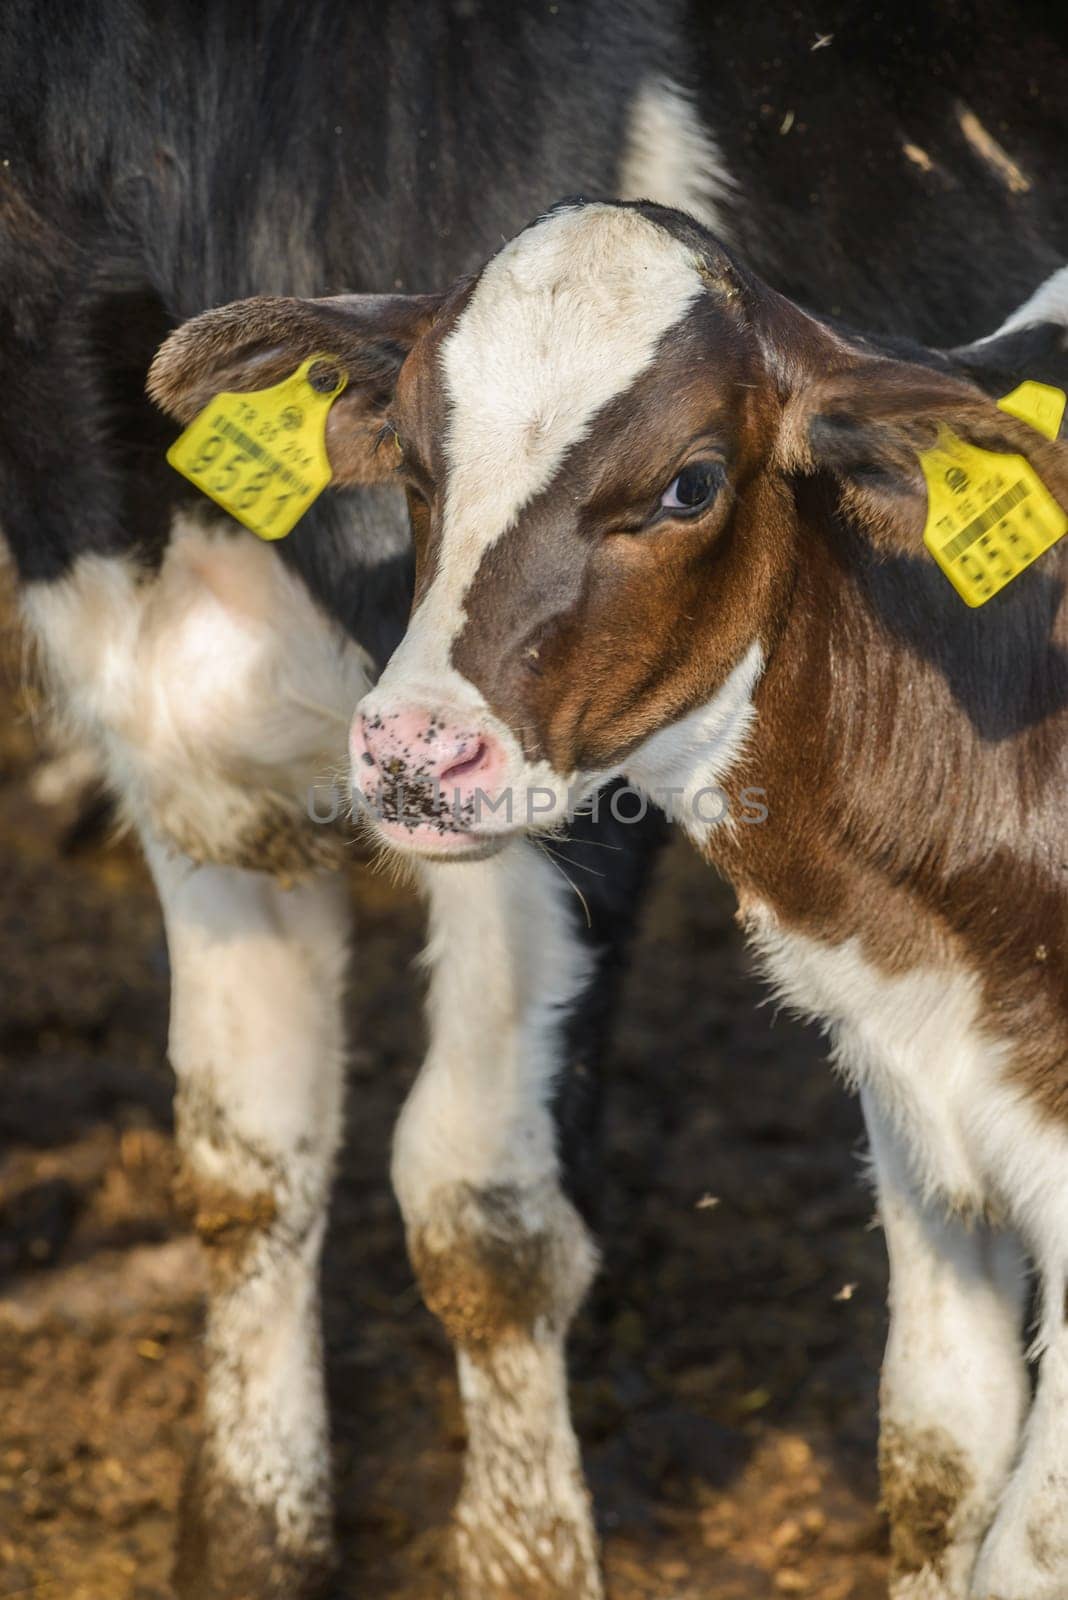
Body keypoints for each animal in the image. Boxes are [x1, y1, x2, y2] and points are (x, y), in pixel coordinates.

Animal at [6, 3, 1068, 1600]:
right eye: (405, 454)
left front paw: (527, 1555)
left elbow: (478, 1218)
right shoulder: (183, 734)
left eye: (691, 484)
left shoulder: (559, 816)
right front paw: (250, 1543)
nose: (407, 746)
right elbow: (243, 1165)